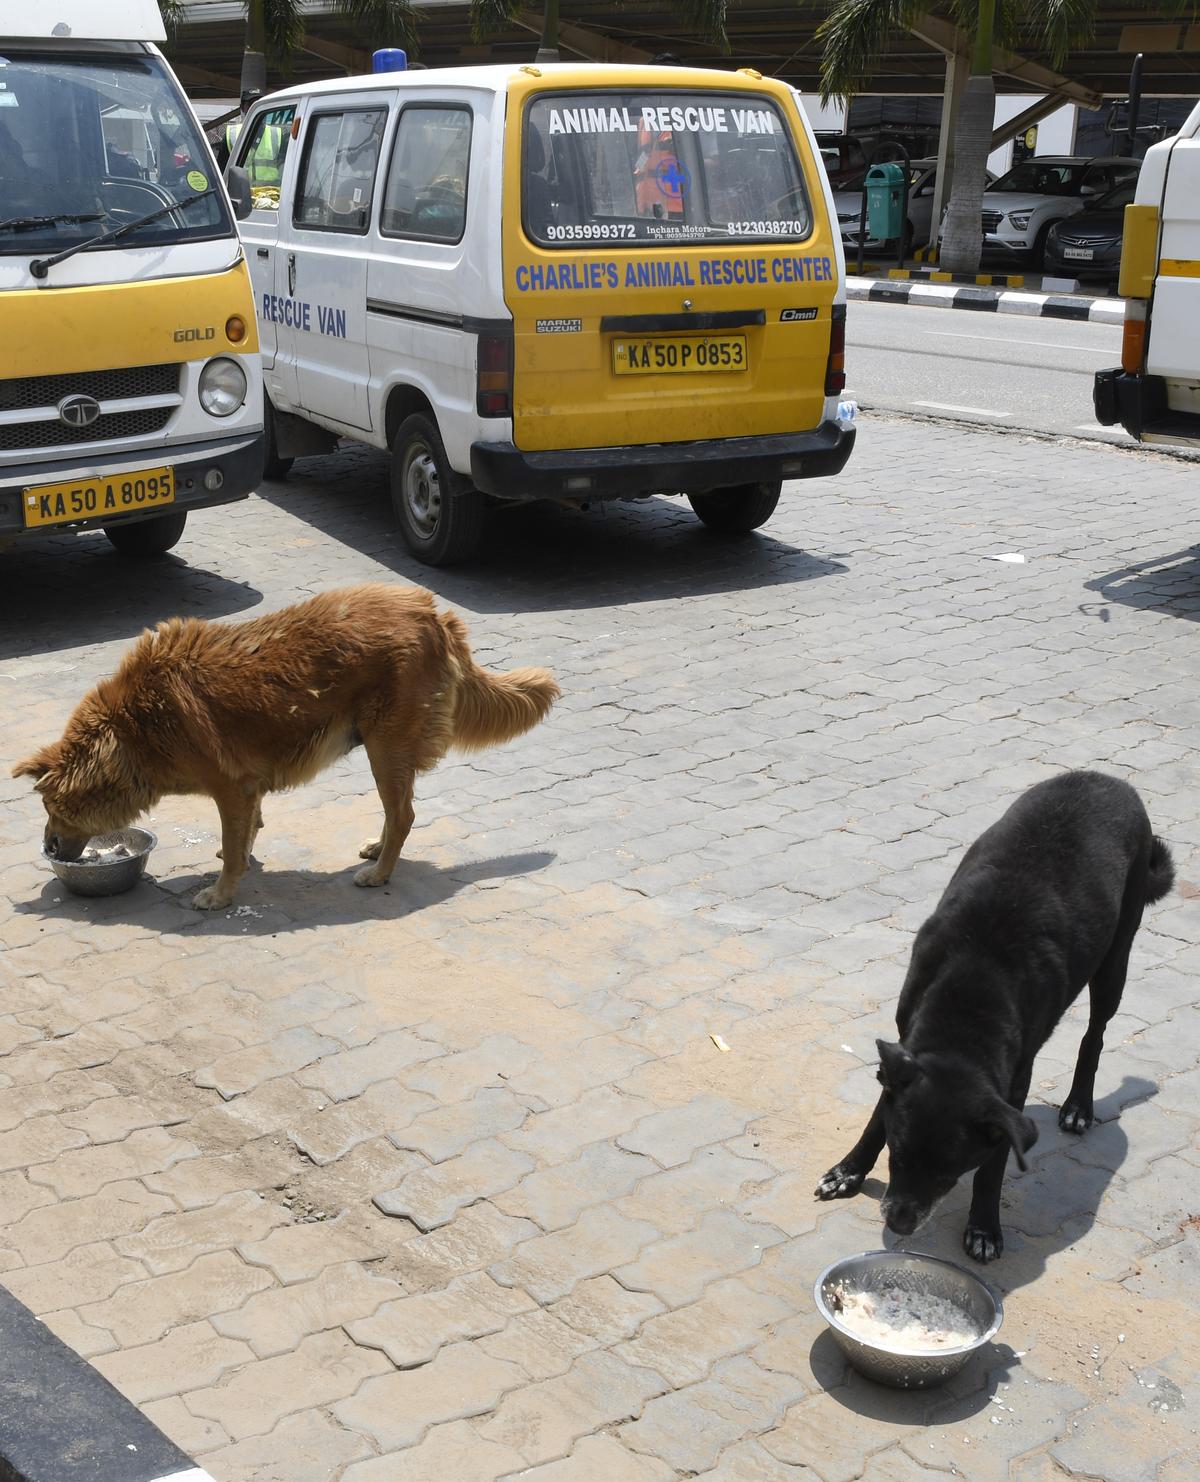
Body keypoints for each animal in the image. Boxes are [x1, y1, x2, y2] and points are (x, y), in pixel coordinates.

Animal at [14, 583, 557, 906]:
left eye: (51, 807)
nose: (48, 847)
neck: (133, 726)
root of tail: (434, 615)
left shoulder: (230, 788)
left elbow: (235, 848)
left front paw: (221, 893)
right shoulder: (248, 789)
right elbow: (248, 831)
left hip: (384, 747)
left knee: (404, 814)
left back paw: (380, 873)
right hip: (386, 750)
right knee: (397, 810)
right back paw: (378, 850)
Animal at [811, 764, 1167, 1262]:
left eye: (950, 1173)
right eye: (897, 1158)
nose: (899, 1225)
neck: (967, 1007)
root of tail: (1107, 778)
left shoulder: (1013, 1085)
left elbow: (996, 1163)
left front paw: (983, 1226)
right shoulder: (904, 1051)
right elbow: (879, 1116)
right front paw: (849, 1170)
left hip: (1117, 954)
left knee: (1094, 1034)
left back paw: (1079, 1105)